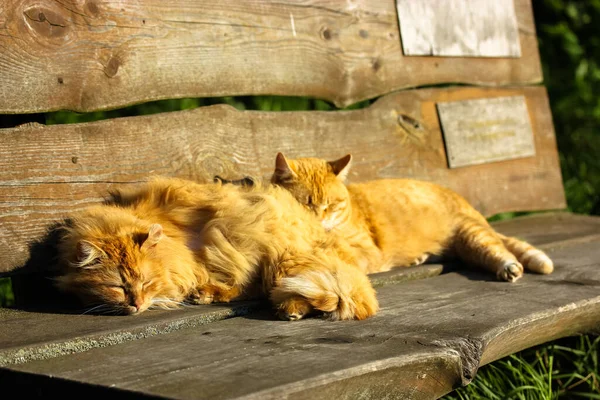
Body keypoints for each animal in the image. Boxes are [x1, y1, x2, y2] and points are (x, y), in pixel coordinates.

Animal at [270, 152, 556, 282]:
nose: (319, 221)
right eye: (305, 204)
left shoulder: (367, 250)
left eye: (330, 206)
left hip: (473, 236)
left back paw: (509, 268)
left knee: (498, 251)